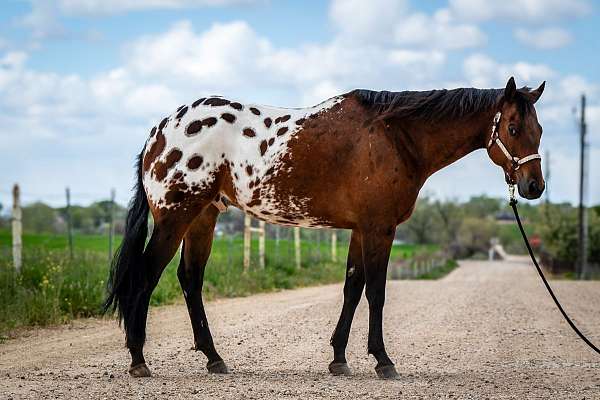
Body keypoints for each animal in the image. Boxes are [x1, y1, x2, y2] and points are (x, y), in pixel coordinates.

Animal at [105, 76, 548, 380]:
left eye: (539, 130)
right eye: (512, 128)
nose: (534, 187)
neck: (395, 138)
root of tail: (161, 130)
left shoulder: (360, 230)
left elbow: (352, 288)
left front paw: (339, 359)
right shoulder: (379, 229)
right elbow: (376, 292)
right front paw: (383, 361)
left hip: (203, 218)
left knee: (190, 279)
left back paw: (214, 358)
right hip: (175, 219)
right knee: (145, 277)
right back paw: (139, 361)